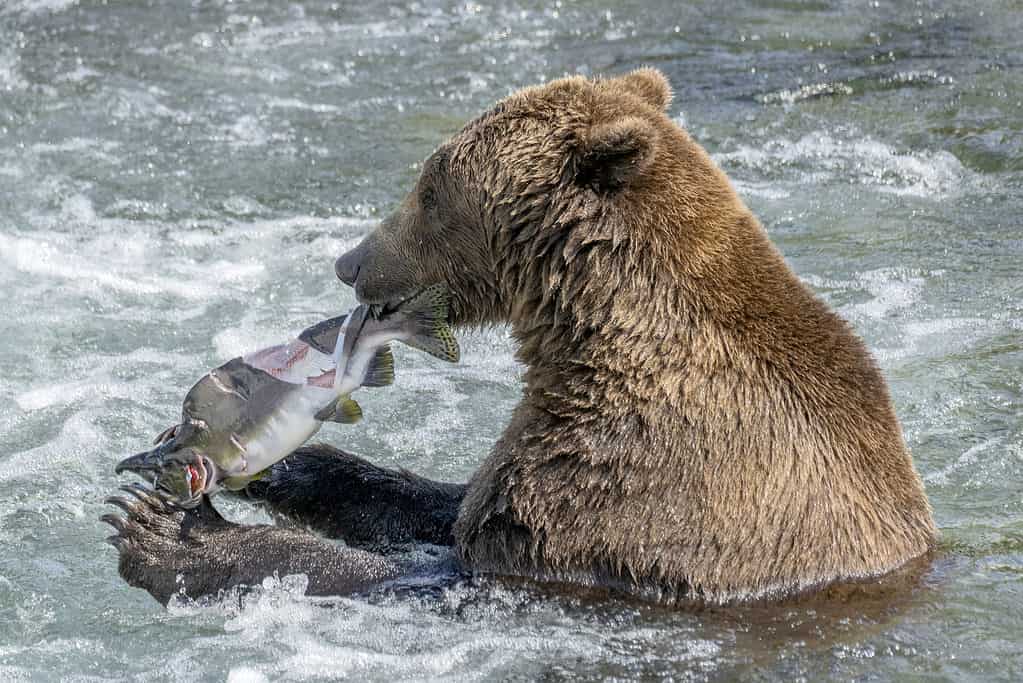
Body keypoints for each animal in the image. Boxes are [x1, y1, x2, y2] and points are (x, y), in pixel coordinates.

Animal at [105, 68, 936, 606]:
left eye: (430, 189)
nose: (351, 261)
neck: (593, 333)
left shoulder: (626, 484)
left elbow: (451, 572)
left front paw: (168, 535)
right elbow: (438, 505)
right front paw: (293, 464)